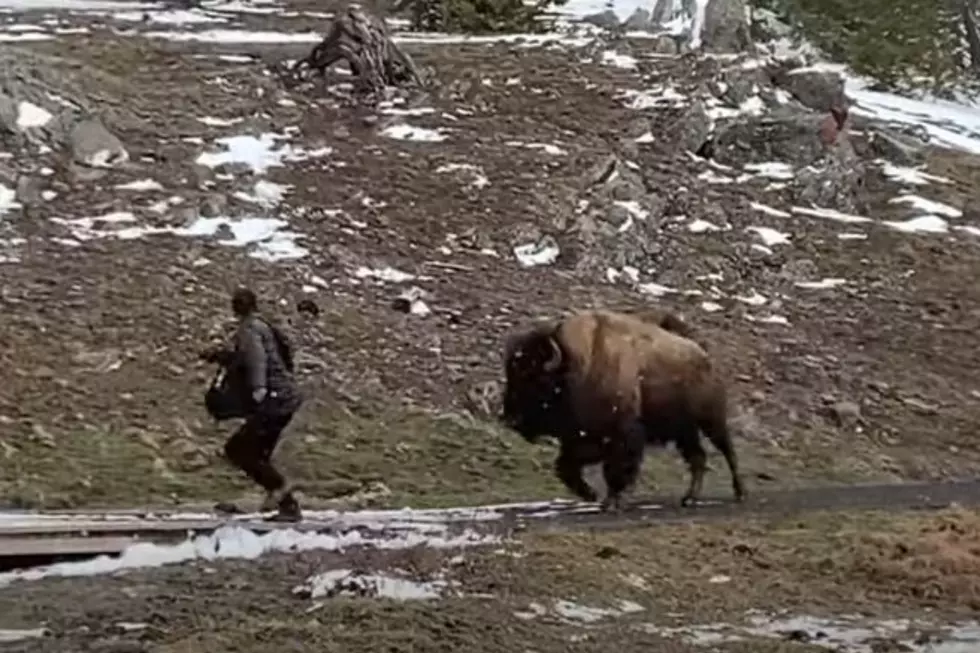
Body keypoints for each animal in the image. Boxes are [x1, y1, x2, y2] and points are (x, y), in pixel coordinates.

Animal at [502, 308, 748, 512]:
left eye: (536, 379)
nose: (510, 419)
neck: (577, 365)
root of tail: (704, 356)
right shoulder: (584, 439)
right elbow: (566, 467)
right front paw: (592, 496)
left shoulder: (622, 436)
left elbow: (616, 470)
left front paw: (611, 502)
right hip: (684, 431)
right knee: (698, 458)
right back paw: (689, 498)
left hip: (710, 421)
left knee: (728, 451)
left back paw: (740, 493)